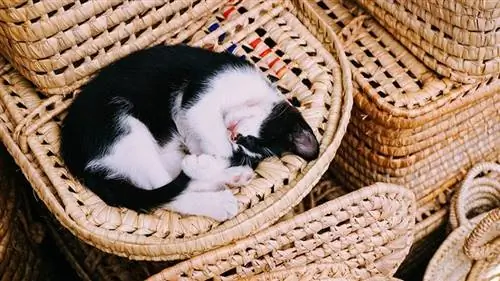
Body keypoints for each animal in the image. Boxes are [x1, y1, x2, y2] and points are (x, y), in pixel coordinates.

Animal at [60, 43, 318, 220]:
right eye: (253, 140)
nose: (235, 136)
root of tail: (70, 150)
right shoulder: (200, 99)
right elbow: (217, 145)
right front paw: (214, 160)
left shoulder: (193, 128)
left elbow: (208, 147)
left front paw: (213, 162)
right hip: (123, 129)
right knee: (159, 189)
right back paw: (219, 201)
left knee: (169, 180)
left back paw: (230, 177)